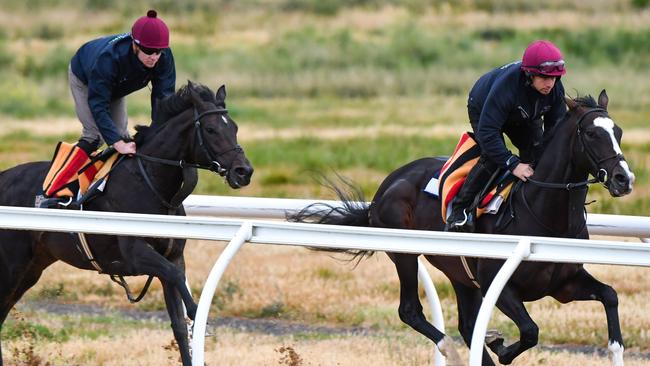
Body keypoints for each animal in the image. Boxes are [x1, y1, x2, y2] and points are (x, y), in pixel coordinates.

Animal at [0, 81, 252, 366]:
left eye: (234, 127)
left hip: (32, 266)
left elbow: (177, 322)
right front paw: (198, 312)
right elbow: (177, 279)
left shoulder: (173, 256)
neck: (152, 184)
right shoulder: (135, 254)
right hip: (12, 265)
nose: (244, 171)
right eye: (210, 129)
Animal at [290, 90, 632, 364]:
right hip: (405, 254)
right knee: (410, 311)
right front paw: (500, 346)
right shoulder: (498, 283)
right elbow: (530, 330)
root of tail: (385, 188)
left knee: (466, 325)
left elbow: (611, 296)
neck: (542, 214)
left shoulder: (564, 285)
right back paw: (450, 350)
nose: (623, 179)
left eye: (618, 131)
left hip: (460, 273)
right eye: (591, 133)